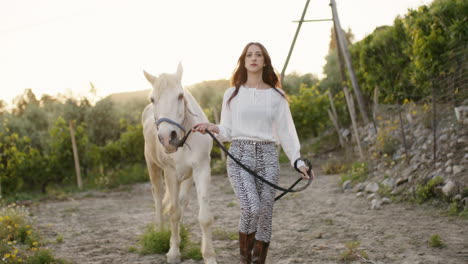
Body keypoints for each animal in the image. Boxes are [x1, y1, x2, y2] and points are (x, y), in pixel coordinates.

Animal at [142, 63, 217, 262]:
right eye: (152, 99)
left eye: (180, 96)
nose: (168, 138)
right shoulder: (170, 173)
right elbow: (173, 213)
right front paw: (174, 252)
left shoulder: (201, 169)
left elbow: (204, 217)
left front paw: (209, 256)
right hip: (153, 167)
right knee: (158, 197)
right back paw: (160, 231)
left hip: (187, 177)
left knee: (182, 201)